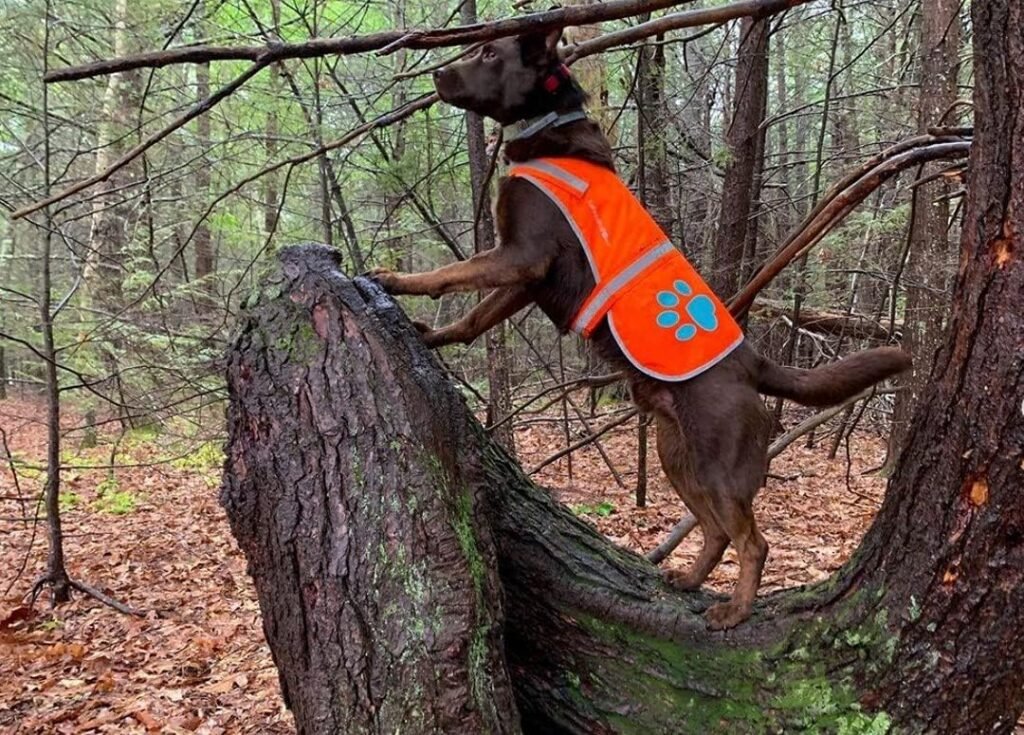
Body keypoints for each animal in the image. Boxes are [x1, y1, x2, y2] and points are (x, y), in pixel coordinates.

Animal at [370, 27, 913, 626]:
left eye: (490, 53)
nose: (437, 74)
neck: (550, 129)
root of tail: (755, 363)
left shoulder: (520, 257)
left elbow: (450, 275)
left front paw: (394, 279)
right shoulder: (526, 279)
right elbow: (473, 318)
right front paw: (434, 336)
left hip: (718, 463)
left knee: (752, 541)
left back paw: (735, 610)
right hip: (675, 454)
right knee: (716, 531)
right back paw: (691, 580)